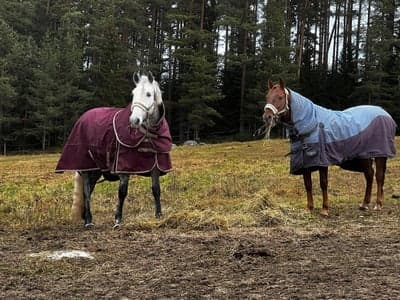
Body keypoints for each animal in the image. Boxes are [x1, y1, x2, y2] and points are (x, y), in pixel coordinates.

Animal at [262, 79, 396, 216]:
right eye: (267, 96)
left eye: (280, 97)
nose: (267, 117)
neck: (312, 123)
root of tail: (385, 113)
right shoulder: (305, 163)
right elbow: (308, 185)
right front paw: (309, 208)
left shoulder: (322, 161)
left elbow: (323, 183)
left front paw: (325, 209)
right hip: (365, 156)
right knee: (369, 175)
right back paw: (364, 204)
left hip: (380, 154)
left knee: (379, 176)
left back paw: (378, 204)